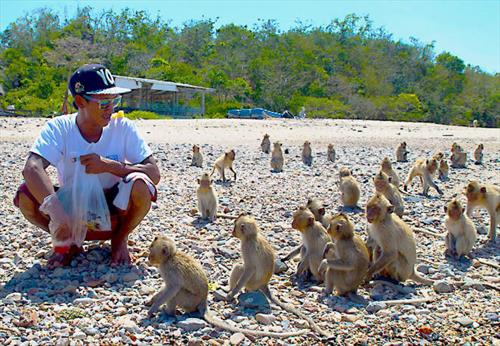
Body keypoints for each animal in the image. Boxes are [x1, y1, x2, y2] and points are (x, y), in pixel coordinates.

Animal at [146, 235, 304, 338]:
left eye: (151, 251)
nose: (148, 258)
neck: (170, 257)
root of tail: (203, 301)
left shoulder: (168, 269)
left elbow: (172, 288)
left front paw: (152, 309)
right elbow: (166, 288)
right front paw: (152, 300)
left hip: (190, 301)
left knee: (177, 293)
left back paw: (169, 313)